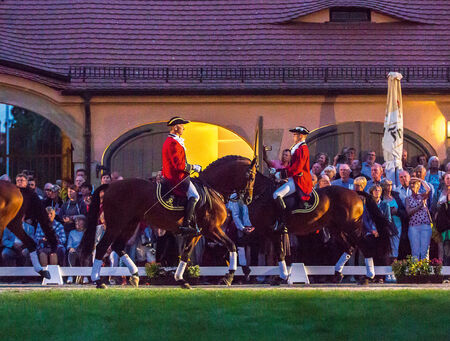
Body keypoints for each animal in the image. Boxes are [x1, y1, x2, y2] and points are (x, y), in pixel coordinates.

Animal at [81, 155, 256, 288]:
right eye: (252, 177)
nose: (248, 199)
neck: (211, 189)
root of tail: (110, 186)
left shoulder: (197, 233)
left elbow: (185, 254)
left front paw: (181, 280)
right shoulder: (211, 229)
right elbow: (231, 245)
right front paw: (228, 277)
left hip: (130, 224)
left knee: (118, 246)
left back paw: (135, 275)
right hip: (115, 225)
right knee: (102, 247)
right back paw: (98, 281)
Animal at [248, 173, 392, 282]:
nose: (247, 198)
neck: (261, 193)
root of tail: (355, 193)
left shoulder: (273, 232)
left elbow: (280, 253)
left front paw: (282, 278)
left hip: (352, 227)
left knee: (364, 247)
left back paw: (368, 277)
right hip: (336, 229)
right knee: (349, 248)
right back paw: (337, 274)